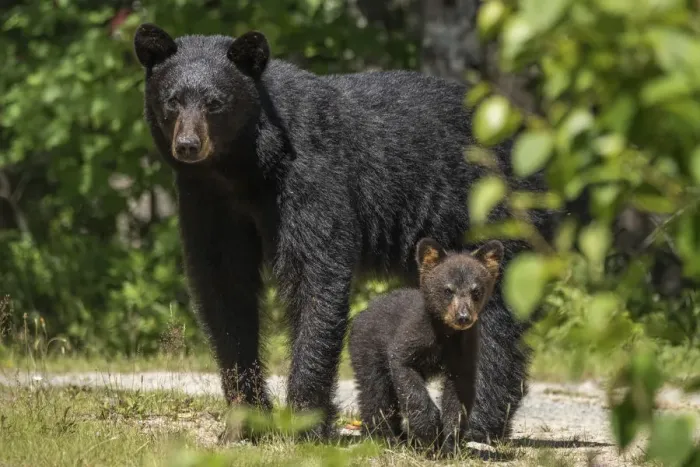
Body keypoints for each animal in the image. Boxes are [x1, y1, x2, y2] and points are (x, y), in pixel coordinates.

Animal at [349, 238, 504, 453]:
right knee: (375, 391)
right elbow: (408, 380)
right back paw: (383, 438)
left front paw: (449, 443)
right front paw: (429, 430)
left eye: (476, 291)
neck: (446, 334)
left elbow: (459, 396)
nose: (463, 317)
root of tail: (362, 312)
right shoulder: (411, 336)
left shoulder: (464, 351)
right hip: (367, 348)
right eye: (448, 290)